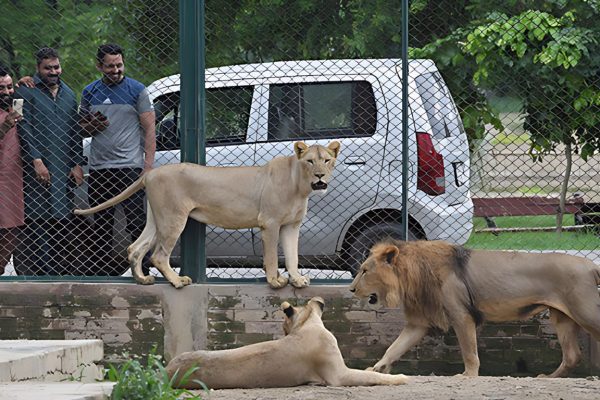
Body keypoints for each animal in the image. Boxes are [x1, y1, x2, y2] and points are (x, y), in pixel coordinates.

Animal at [72, 142, 340, 290]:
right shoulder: (270, 223)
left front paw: (297, 280)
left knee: (135, 248)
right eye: (310, 161)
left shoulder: (291, 225)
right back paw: (177, 281)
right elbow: (273, 257)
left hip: (157, 219)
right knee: (158, 255)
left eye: (327, 160)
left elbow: (293, 255)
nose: (319, 176)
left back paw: (142, 280)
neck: (300, 186)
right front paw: (275, 282)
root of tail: (150, 173)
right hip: (173, 218)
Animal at [165, 296, 408, 388]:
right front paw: (401, 378)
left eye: (283, 327)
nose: (282, 332)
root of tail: (165, 371)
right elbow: (373, 376)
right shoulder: (339, 375)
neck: (307, 324)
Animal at [346, 241, 600, 378]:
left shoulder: (461, 315)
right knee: (572, 356)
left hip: (585, 311)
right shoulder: (418, 323)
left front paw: (468, 375)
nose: (350, 289)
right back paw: (547, 377)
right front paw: (376, 369)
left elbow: (469, 351)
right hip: (563, 318)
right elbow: (394, 348)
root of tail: (591, 265)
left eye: (365, 271)